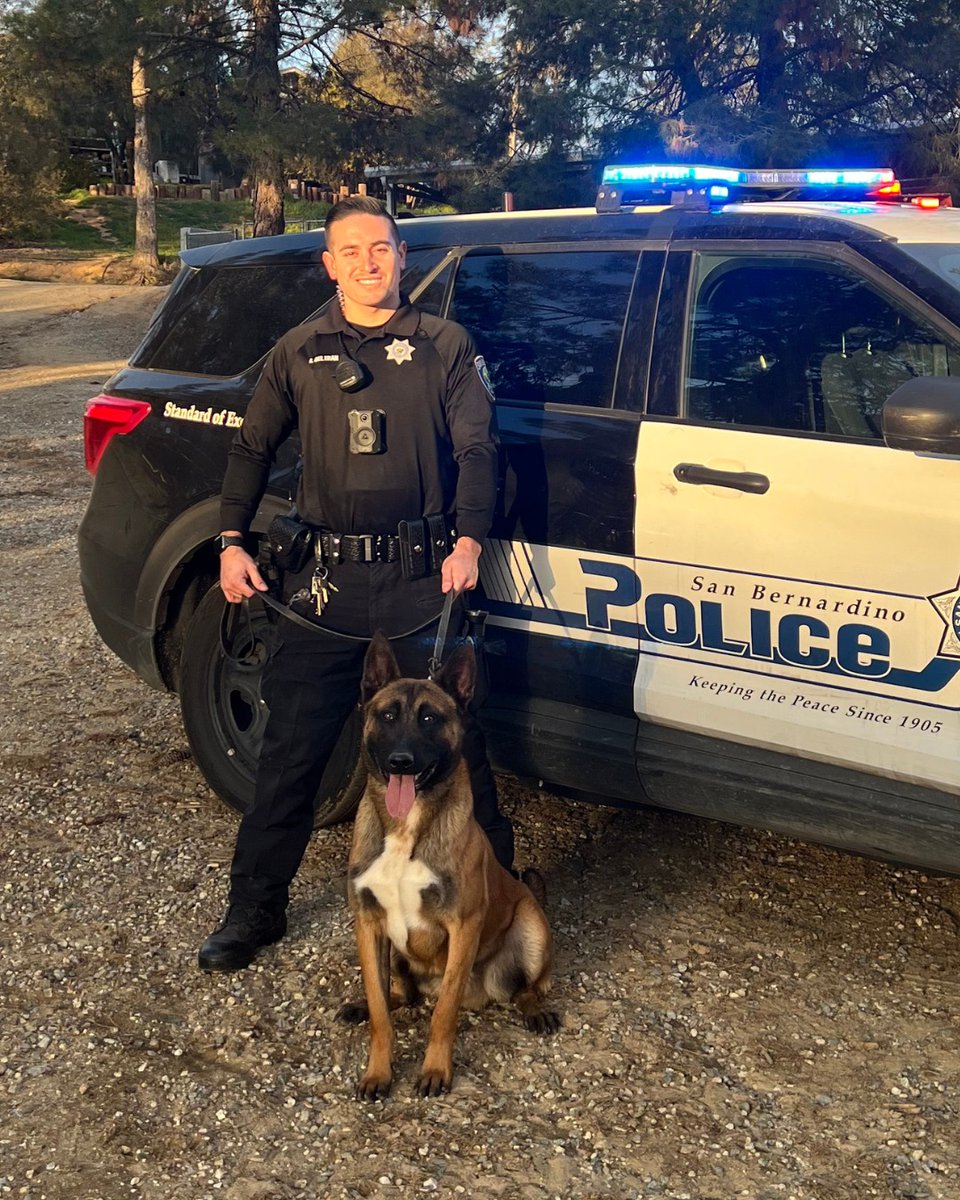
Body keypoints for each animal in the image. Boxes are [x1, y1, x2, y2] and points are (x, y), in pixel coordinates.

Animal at [338, 633, 559, 1099]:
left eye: (429, 718)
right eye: (387, 715)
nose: (401, 761)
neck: (406, 828)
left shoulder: (464, 925)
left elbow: (443, 1014)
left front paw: (436, 1070)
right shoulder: (368, 924)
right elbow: (381, 1012)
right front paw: (378, 1071)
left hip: (531, 925)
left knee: (526, 989)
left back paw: (535, 1011)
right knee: (398, 994)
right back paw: (365, 1006)